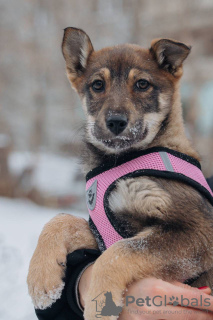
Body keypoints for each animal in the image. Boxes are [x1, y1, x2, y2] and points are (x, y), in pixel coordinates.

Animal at [27, 28, 213, 320]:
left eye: (142, 84)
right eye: (97, 85)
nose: (115, 122)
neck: (120, 160)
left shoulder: (199, 231)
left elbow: (118, 254)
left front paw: (99, 305)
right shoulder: (106, 229)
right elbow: (62, 220)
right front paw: (42, 281)